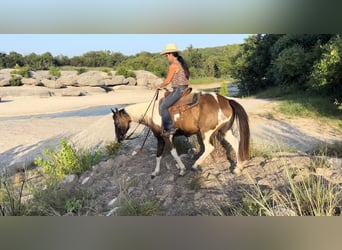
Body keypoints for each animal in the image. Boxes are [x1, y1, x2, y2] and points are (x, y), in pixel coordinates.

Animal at [113, 88, 251, 178]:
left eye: (116, 123)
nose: (119, 139)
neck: (151, 114)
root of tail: (226, 101)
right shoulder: (160, 138)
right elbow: (158, 155)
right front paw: (155, 172)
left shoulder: (167, 136)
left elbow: (173, 152)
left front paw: (182, 169)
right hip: (224, 130)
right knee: (236, 143)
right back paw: (238, 168)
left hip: (206, 132)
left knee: (209, 147)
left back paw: (195, 165)